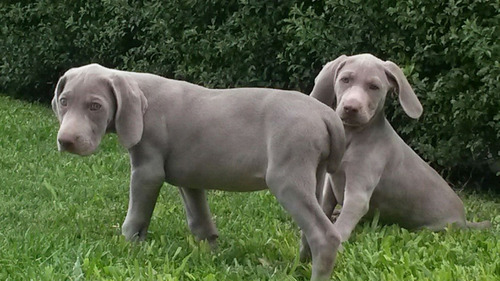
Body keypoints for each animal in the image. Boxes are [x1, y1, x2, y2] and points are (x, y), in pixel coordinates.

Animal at [52, 63, 346, 280]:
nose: (66, 141)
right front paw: (213, 254)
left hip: (286, 175)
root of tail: (326, 115)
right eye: (64, 101)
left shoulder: (147, 170)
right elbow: (200, 221)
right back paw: (299, 264)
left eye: (95, 106)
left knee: (324, 234)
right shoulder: (189, 177)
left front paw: (128, 248)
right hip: (315, 173)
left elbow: (136, 217)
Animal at [308, 54, 488, 243]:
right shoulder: (331, 181)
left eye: (374, 87)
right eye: (345, 80)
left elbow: (347, 215)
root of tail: (464, 220)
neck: (353, 136)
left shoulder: (358, 191)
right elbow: (325, 205)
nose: (351, 108)